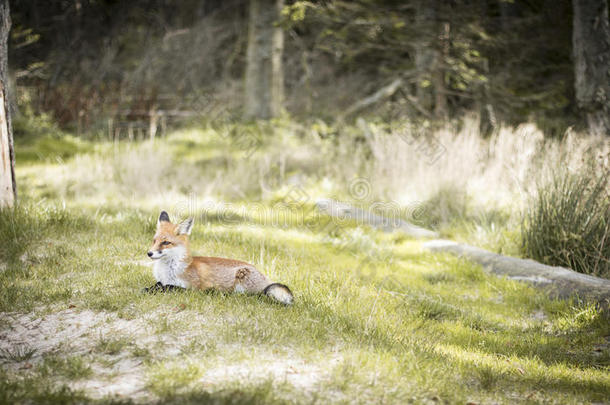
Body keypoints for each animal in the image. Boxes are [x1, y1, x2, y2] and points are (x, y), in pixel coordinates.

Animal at [144, 211, 294, 304]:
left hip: (243, 278)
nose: (149, 253)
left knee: (250, 295)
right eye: (154, 241)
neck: (168, 271)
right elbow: (158, 284)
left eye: (165, 243)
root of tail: (266, 279)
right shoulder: (161, 280)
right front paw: (148, 289)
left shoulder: (193, 289)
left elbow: (169, 287)